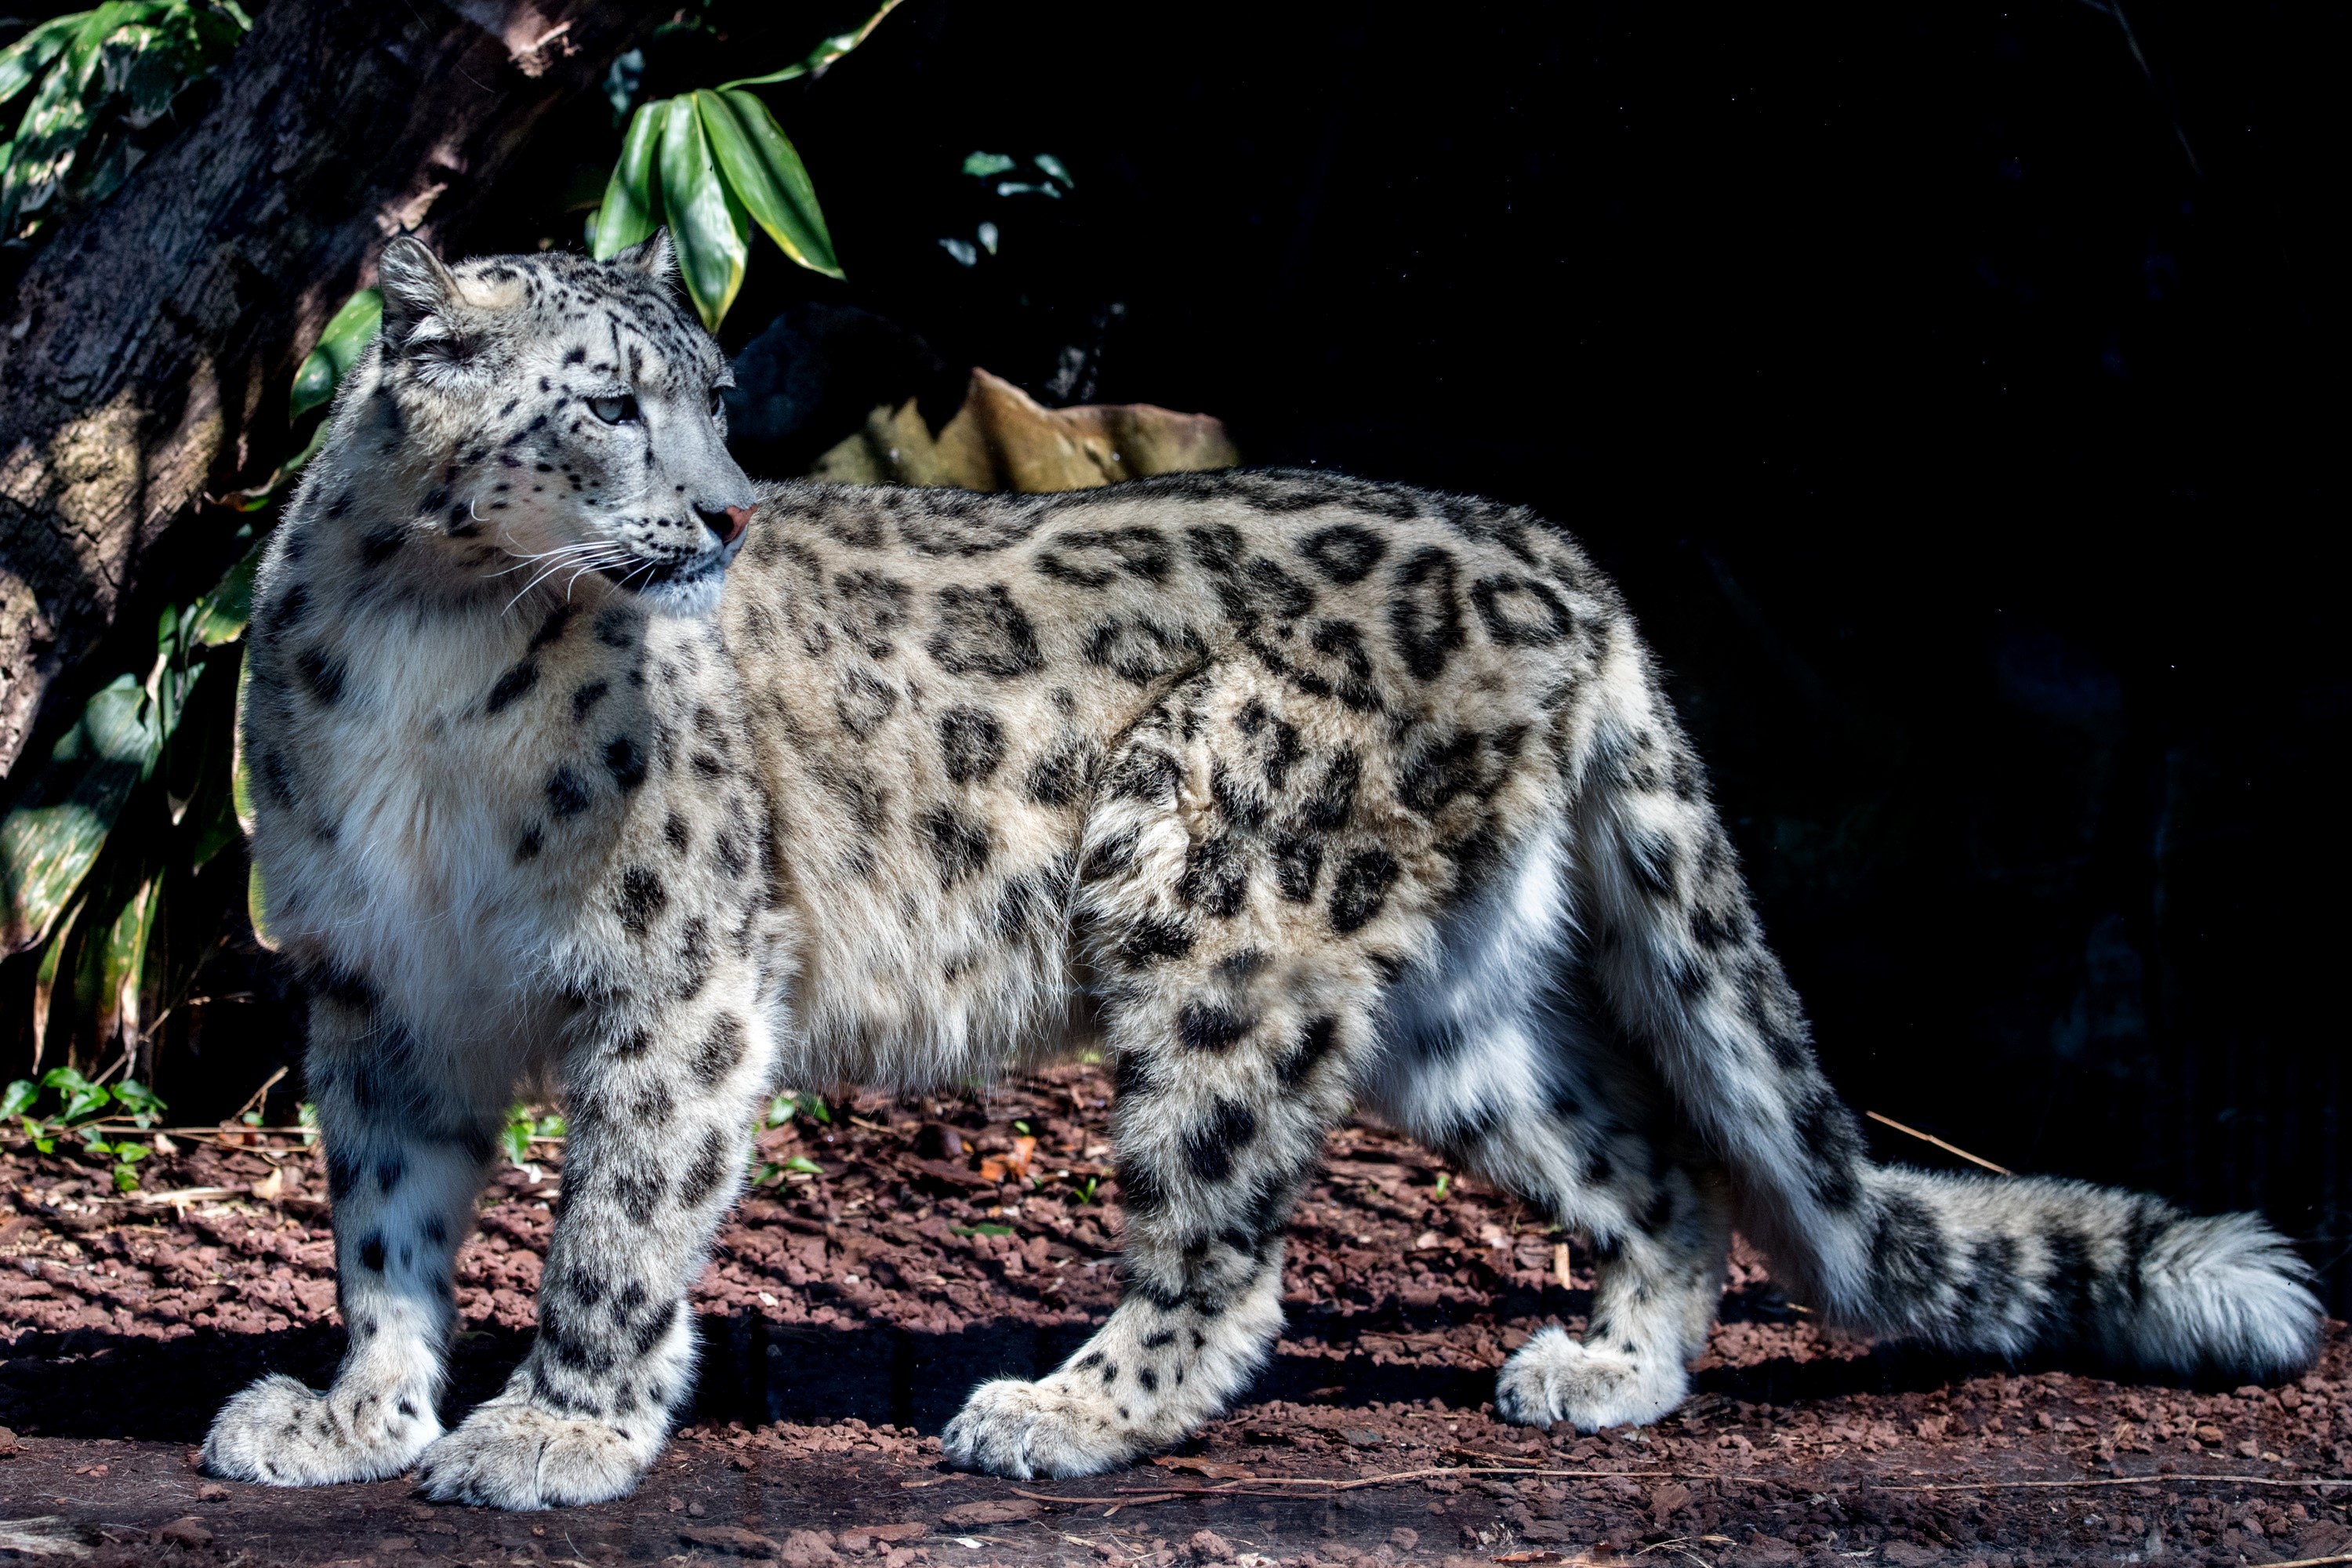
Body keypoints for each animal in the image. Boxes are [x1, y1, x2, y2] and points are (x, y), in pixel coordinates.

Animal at [202, 234, 2322, 1508]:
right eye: (602, 396)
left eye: (713, 394)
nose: (723, 510)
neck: (425, 647)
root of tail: (1562, 556)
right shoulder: (373, 985)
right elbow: (384, 1221)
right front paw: (356, 1409)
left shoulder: (679, 971)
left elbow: (617, 1223)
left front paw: (551, 1428)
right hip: (1447, 1003)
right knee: (1646, 1155)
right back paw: (1608, 1364)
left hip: (1215, 887)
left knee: (1227, 1243)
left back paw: (1061, 1407)